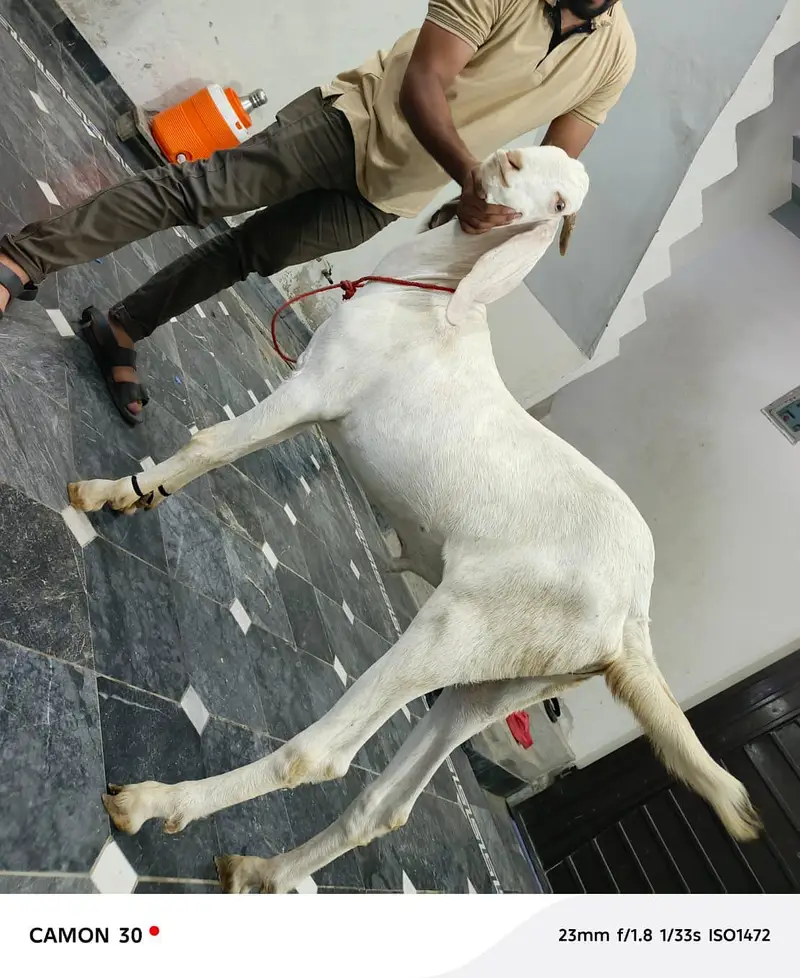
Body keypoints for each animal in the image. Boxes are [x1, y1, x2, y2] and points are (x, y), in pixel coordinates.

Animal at [68, 145, 759, 893]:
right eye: (550, 174)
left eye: (559, 208)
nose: (508, 156)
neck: (433, 292)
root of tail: (632, 619)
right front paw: (138, 496)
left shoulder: (315, 390)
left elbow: (211, 443)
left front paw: (110, 491)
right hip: (499, 679)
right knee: (387, 803)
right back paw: (264, 872)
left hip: (457, 625)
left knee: (321, 755)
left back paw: (157, 802)